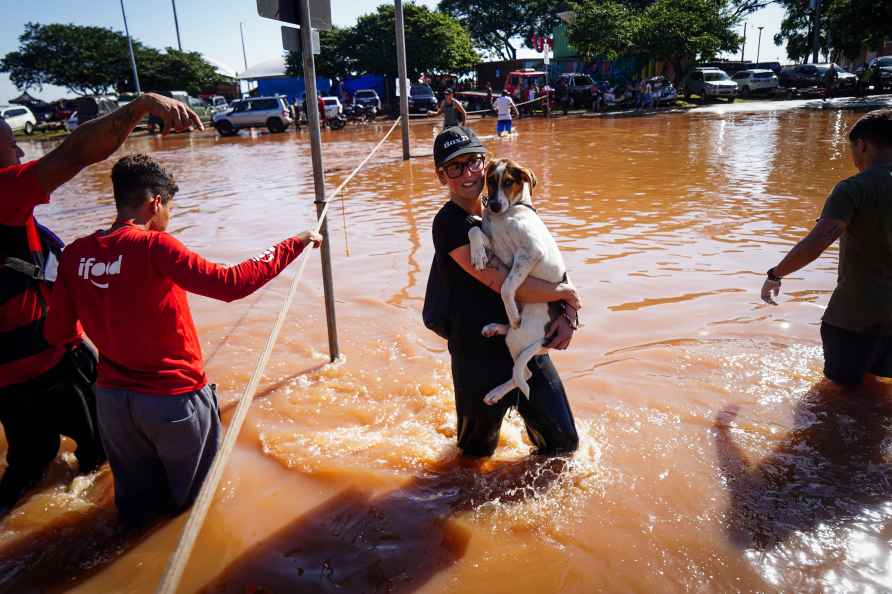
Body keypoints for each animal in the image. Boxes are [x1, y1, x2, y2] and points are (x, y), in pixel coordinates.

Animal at [466, 157, 572, 404]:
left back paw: (496, 392)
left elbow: (506, 288)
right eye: (490, 180)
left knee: (524, 374)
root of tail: (544, 342)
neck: (507, 214)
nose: (494, 205)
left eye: (509, 182)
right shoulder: (495, 245)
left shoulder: (530, 253)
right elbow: (473, 231)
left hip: (519, 337)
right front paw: (477, 254)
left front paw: (513, 315)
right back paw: (496, 327)